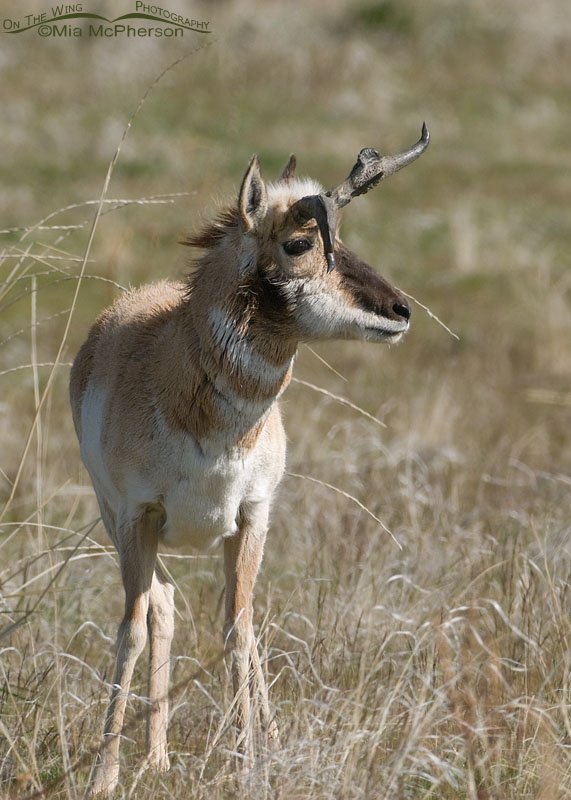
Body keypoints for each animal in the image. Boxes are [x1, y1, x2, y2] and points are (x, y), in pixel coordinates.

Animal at [69, 123, 429, 796]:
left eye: (341, 237)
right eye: (299, 242)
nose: (401, 310)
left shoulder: (253, 514)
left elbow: (239, 628)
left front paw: (251, 759)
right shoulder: (136, 516)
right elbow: (131, 627)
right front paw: (102, 777)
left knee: (236, 617)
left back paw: (239, 744)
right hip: (121, 524)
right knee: (162, 605)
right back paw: (154, 758)